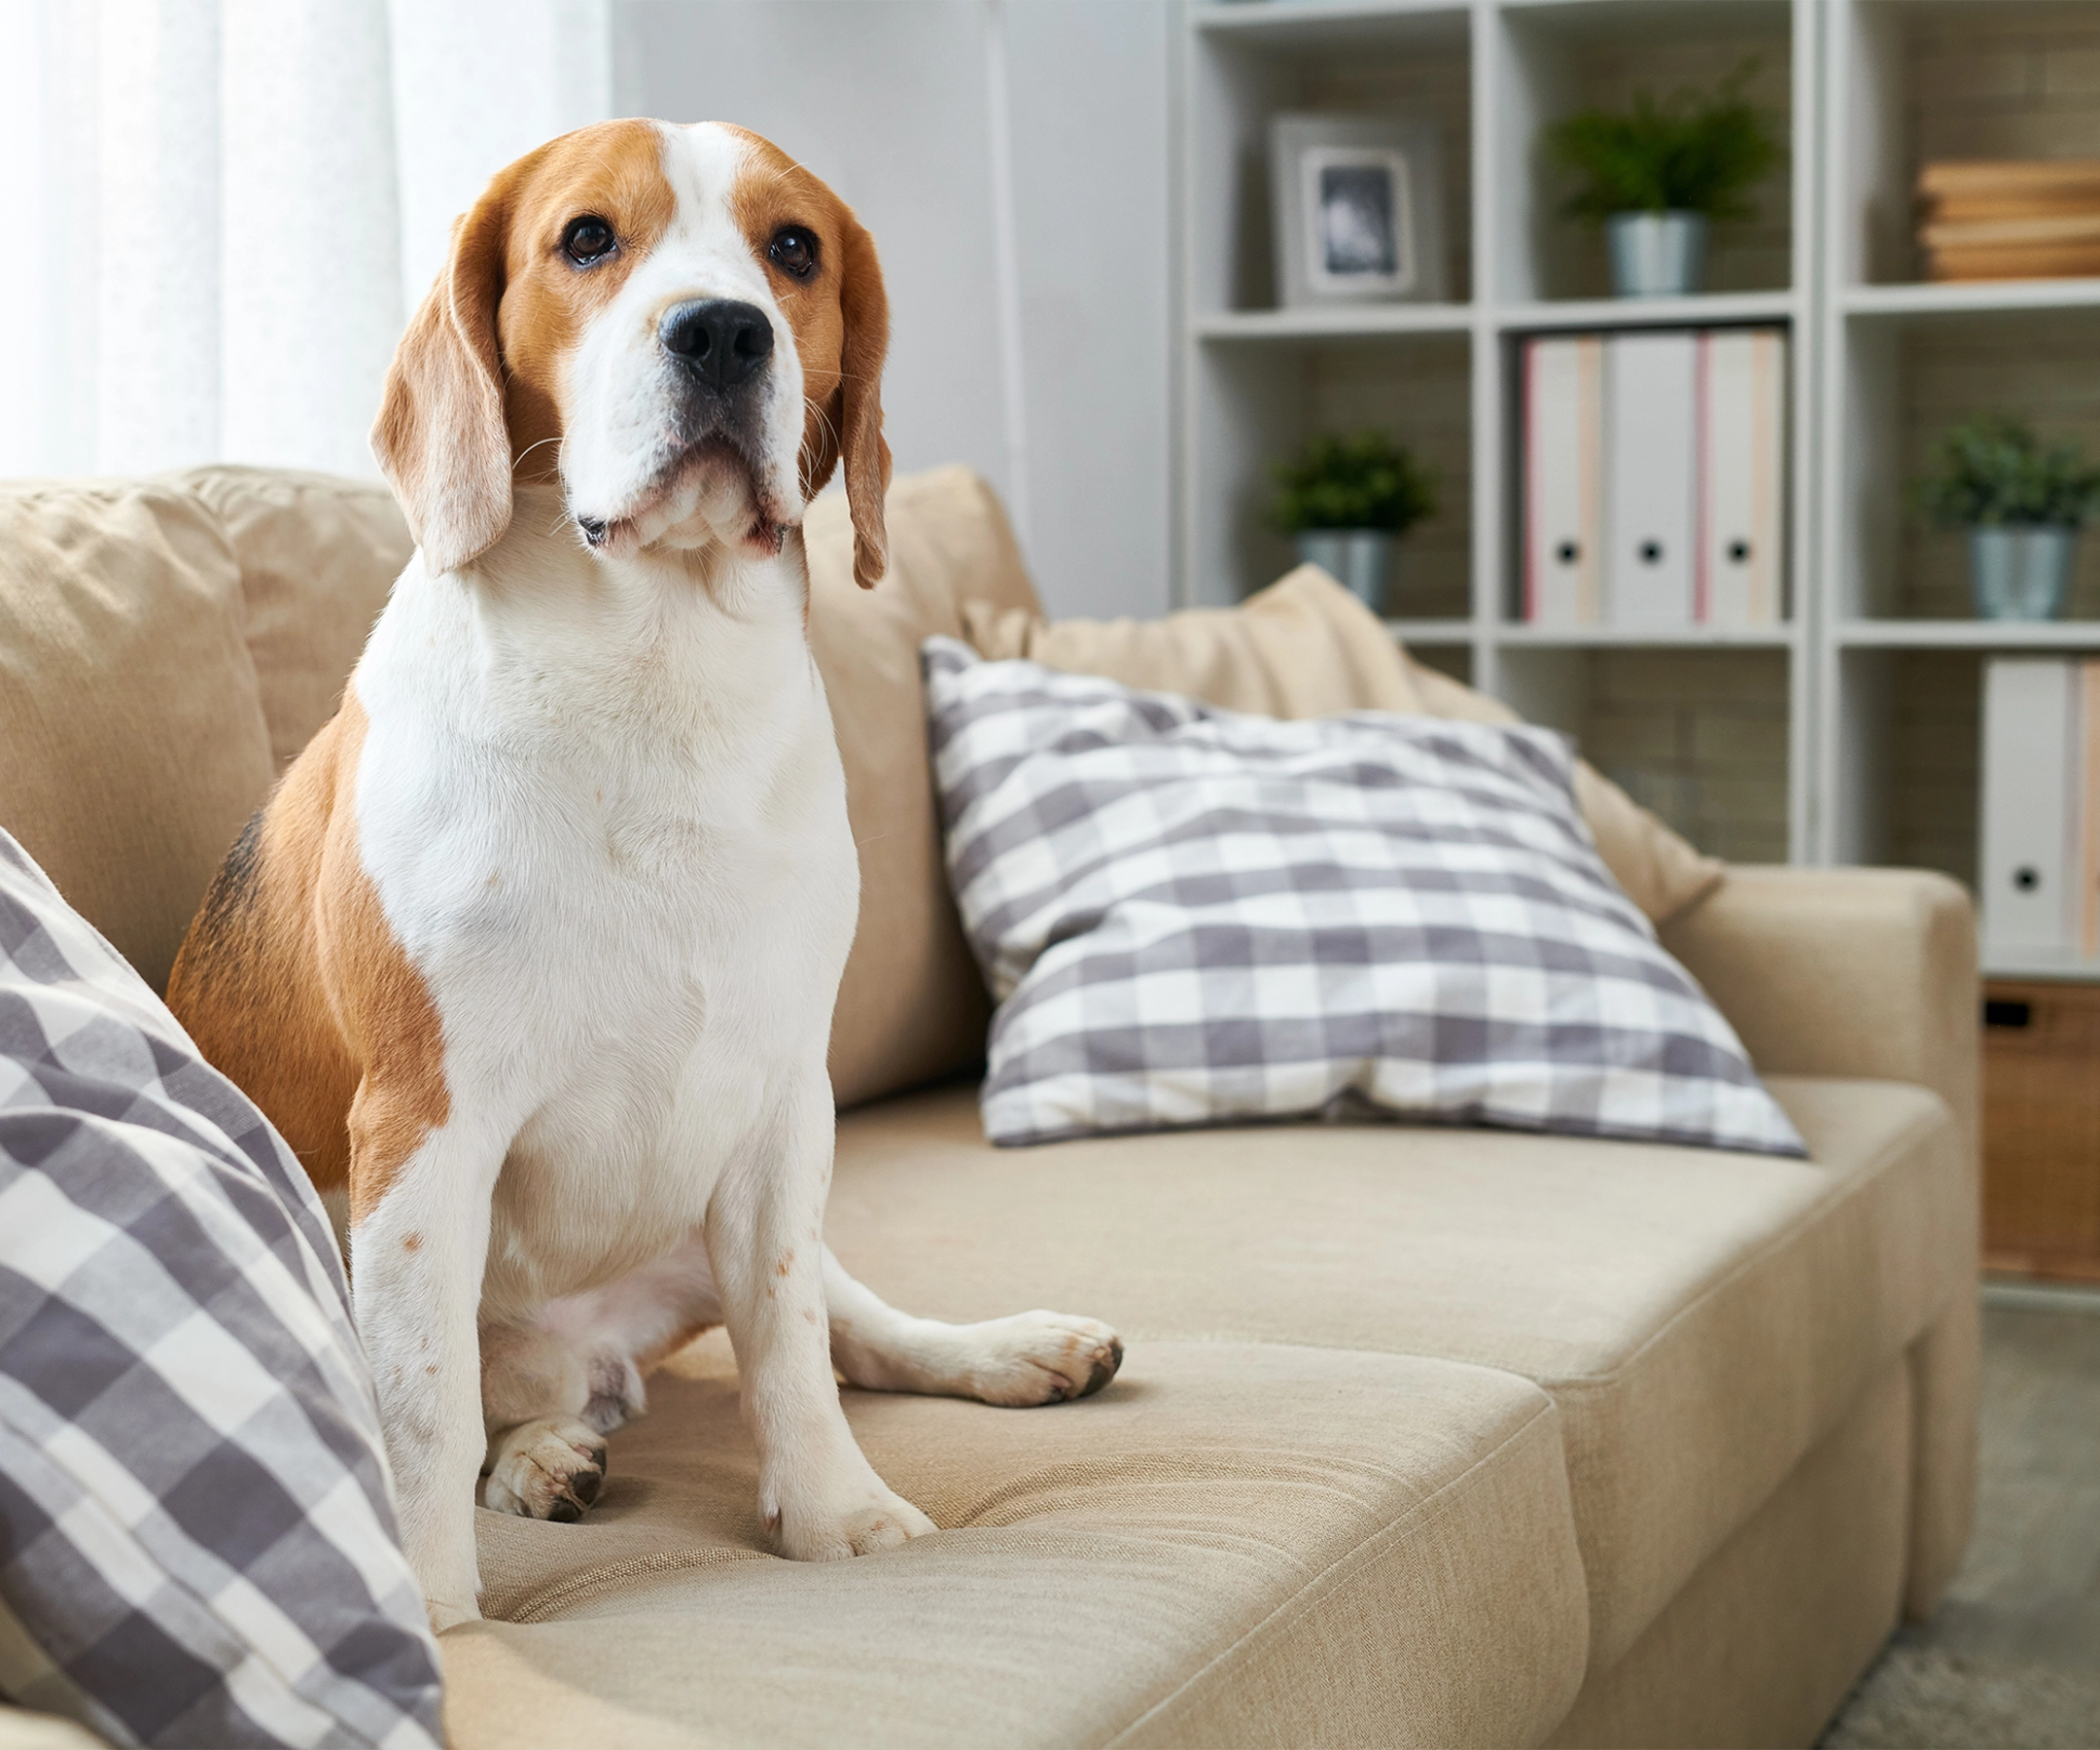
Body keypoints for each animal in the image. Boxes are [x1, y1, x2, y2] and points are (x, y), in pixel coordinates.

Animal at [167, 120, 1117, 1622]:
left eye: (793, 249)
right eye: (586, 240)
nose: (723, 331)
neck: (655, 671)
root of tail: (590, 1355)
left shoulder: (785, 1102)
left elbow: (790, 1339)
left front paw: (835, 1513)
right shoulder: (425, 1129)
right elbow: (421, 1405)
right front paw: (438, 1612)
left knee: (852, 1328)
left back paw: (1005, 1349)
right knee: (488, 1405)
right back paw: (541, 1455)